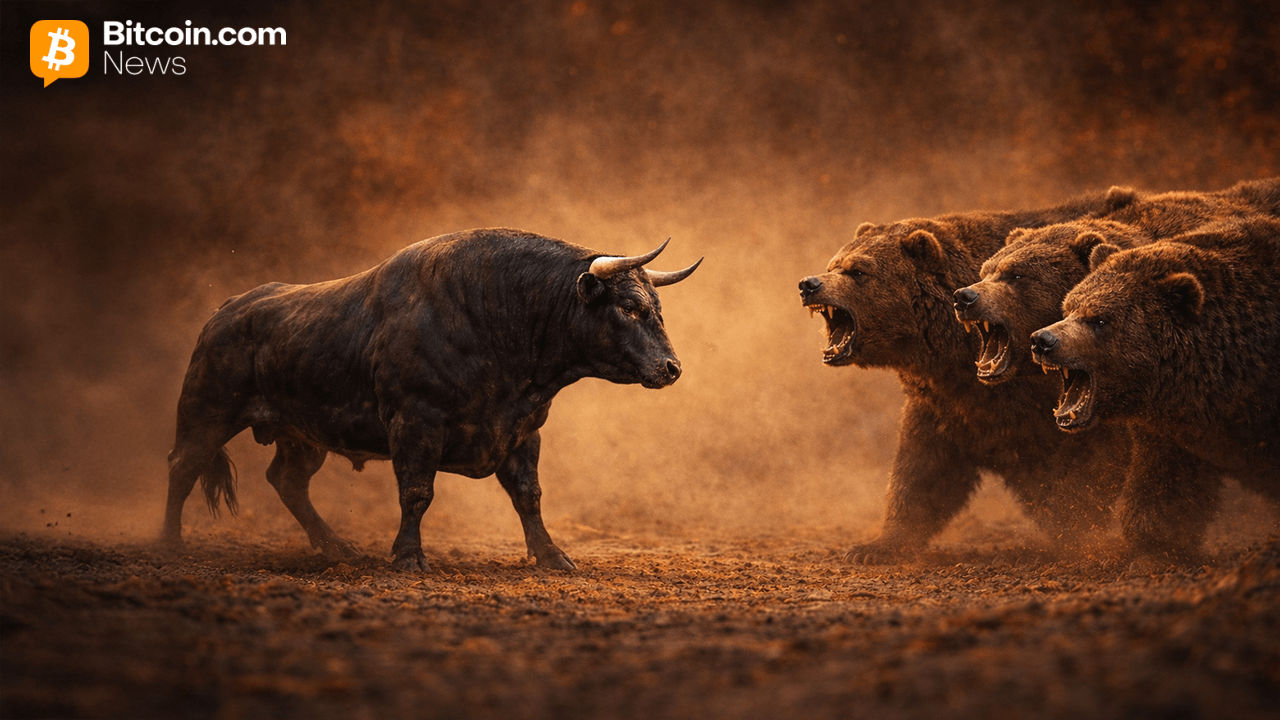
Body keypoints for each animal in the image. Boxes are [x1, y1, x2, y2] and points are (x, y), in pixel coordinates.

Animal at [161, 228, 701, 572]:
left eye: (655, 307)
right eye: (628, 307)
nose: (671, 368)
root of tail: (229, 310)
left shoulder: (524, 428)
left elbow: (529, 495)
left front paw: (552, 558)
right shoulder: (414, 422)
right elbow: (417, 492)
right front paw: (408, 558)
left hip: (303, 434)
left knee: (287, 480)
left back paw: (338, 548)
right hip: (206, 411)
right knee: (183, 467)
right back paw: (170, 544)